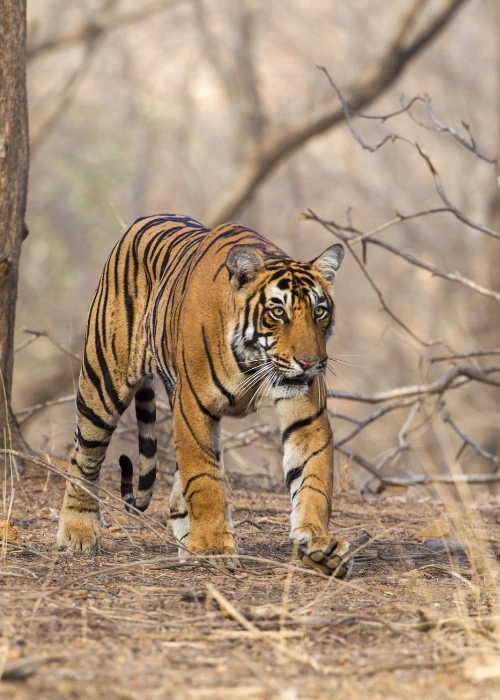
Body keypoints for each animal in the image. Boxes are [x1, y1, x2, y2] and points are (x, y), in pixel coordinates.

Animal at [57, 213, 352, 577]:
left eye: (319, 312)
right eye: (278, 312)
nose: (310, 363)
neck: (253, 361)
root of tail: (143, 219)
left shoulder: (306, 416)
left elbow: (313, 479)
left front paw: (318, 545)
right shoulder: (193, 408)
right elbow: (204, 480)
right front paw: (213, 547)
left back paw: (187, 541)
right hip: (103, 380)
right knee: (85, 455)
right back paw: (78, 530)